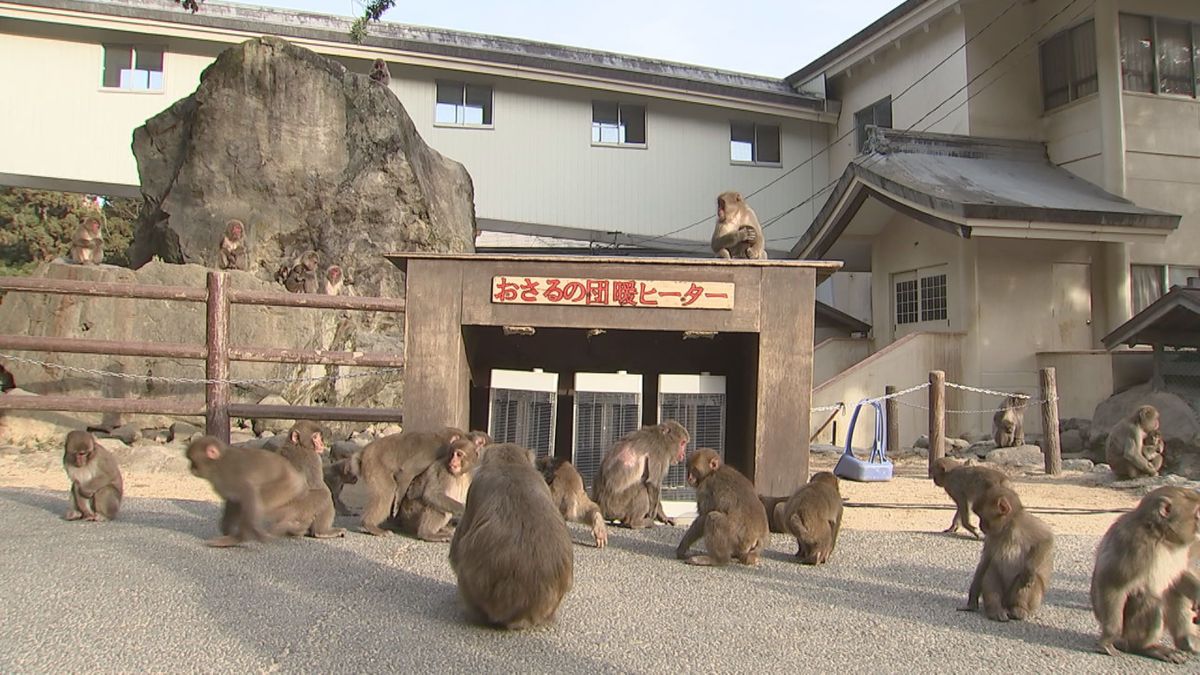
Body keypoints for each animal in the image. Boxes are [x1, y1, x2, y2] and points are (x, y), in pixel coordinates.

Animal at [955, 482, 1051, 619]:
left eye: (982, 516)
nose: (980, 525)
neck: (1007, 527)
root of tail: (1006, 603)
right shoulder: (991, 536)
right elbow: (985, 562)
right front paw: (971, 602)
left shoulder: (1025, 523)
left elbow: (1046, 540)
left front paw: (1029, 569)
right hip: (1003, 597)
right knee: (990, 570)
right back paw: (995, 610)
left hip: (1030, 600)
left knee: (1030, 580)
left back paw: (1018, 608)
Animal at [1094, 482, 1195, 662]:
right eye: (1197, 515)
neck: (1160, 535)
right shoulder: (1135, 545)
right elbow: (1113, 583)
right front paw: (1107, 640)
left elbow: (1178, 575)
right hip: (1127, 632)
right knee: (1150, 598)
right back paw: (1147, 647)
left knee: (1173, 591)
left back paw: (1185, 641)